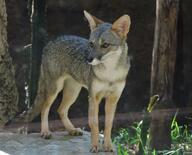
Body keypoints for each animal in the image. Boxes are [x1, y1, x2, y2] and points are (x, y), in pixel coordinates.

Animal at [21, 10, 132, 152]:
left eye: (105, 45)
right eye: (91, 44)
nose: (88, 59)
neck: (110, 74)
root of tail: (52, 42)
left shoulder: (113, 98)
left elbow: (108, 125)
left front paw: (108, 145)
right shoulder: (94, 98)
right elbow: (94, 124)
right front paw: (94, 146)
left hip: (72, 93)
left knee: (61, 110)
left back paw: (71, 130)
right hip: (54, 90)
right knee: (45, 109)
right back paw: (45, 131)